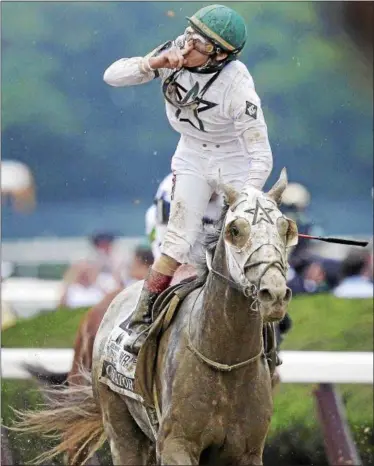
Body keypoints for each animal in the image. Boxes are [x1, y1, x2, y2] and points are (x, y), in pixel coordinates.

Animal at [12, 168, 298, 466]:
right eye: (235, 230)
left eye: (285, 228)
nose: (274, 293)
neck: (225, 360)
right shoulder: (175, 444)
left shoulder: (246, 452)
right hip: (121, 429)